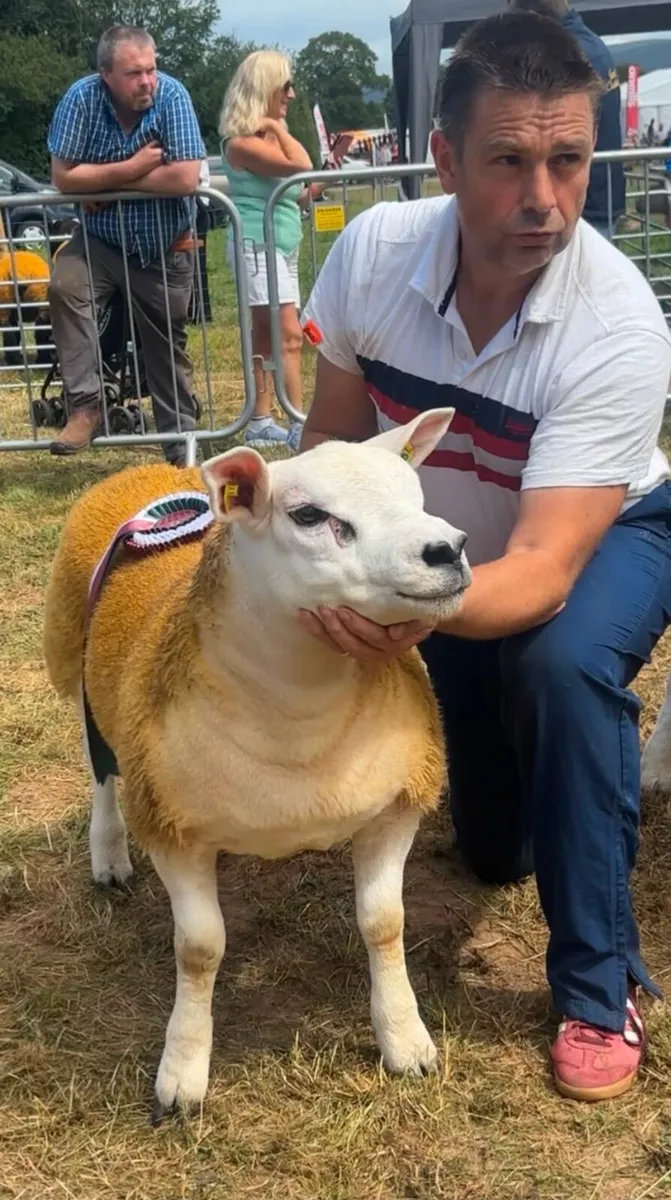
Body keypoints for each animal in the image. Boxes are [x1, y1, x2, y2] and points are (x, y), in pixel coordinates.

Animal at [43, 407, 471, 1119]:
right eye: (308, 515)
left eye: (417, 494)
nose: (448, 549)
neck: (298, 716)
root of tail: (154, 470)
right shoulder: (171, 823)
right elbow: (199, 949)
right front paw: (182, 1072)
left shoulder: (394, 805)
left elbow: (384, 924)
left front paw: (405, 1039)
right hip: (79, 662)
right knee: (101, 771)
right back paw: (108, 855)